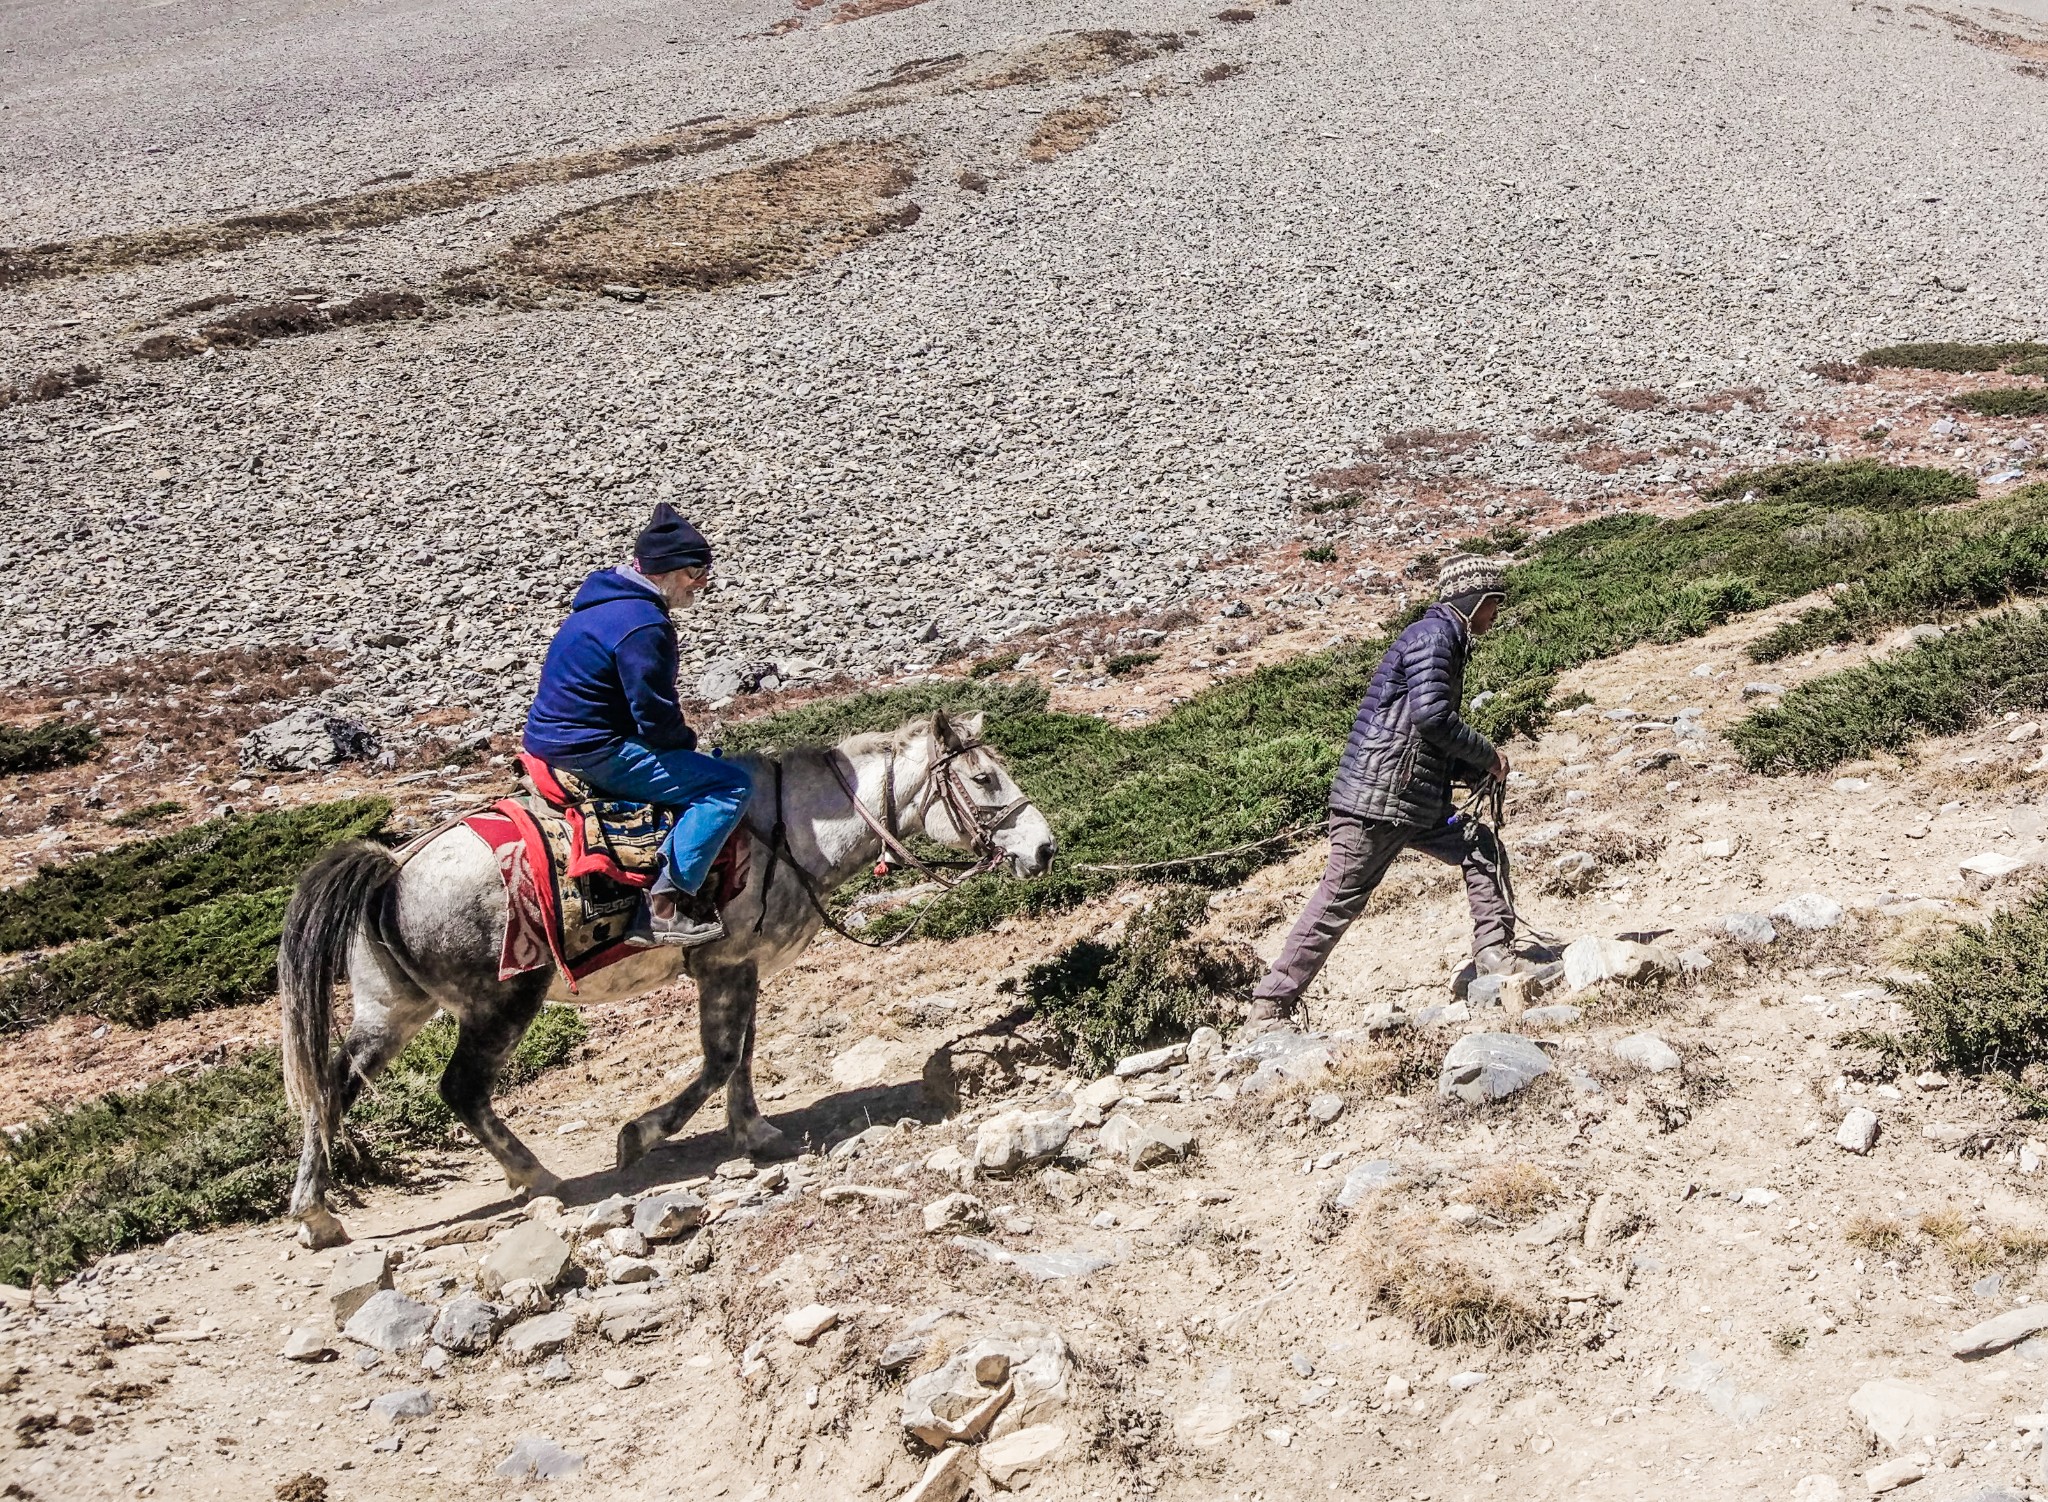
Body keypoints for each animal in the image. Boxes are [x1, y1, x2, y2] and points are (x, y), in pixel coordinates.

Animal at [274, 708, 1056, 1245]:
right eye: (983, 777)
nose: (1044, 849)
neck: (789, 830)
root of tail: (390, 871)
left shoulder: (741, 968)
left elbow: (742, 1056)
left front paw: (755, 1132)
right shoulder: (723, 963)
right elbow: (718, 1061)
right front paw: (641, 1135)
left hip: (393, 1010)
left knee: (331, 1085)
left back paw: (317, 1213)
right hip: (500, 1003)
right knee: (459, 1088)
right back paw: (537, 1177)